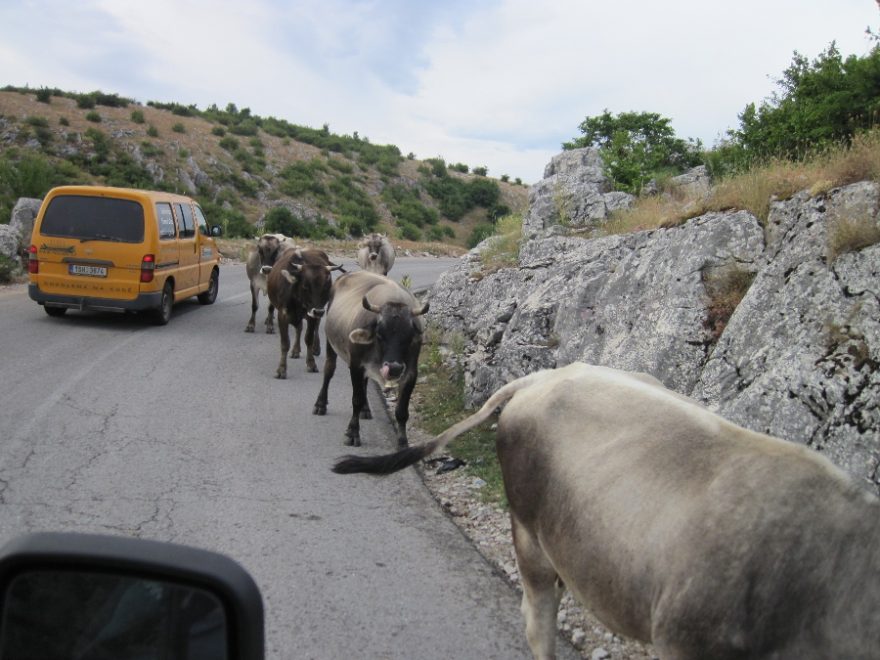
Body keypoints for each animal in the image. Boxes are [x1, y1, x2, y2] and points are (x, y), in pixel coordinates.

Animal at [266, 246, 342, 376]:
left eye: (326, 286)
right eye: (305, 286)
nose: (319, 312)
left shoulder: (311, 314)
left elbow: (308, 339)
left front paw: (311, 363)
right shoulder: (283, 315)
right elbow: (285, 343)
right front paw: (281, 369)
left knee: (313, 327)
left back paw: (316, 348)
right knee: (299, 328)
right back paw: (296, 350)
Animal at [314, 270, 428, 448]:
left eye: (409, 337)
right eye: (380, 334)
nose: (394, 368)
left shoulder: (411, 373)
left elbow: (402, 411)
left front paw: (403, 442)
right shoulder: (355, 365)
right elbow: (356, 399)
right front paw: (352, 432)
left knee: (365, 383)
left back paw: (366, 410)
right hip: (330, 343)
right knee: (329, 370)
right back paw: (320, 404)